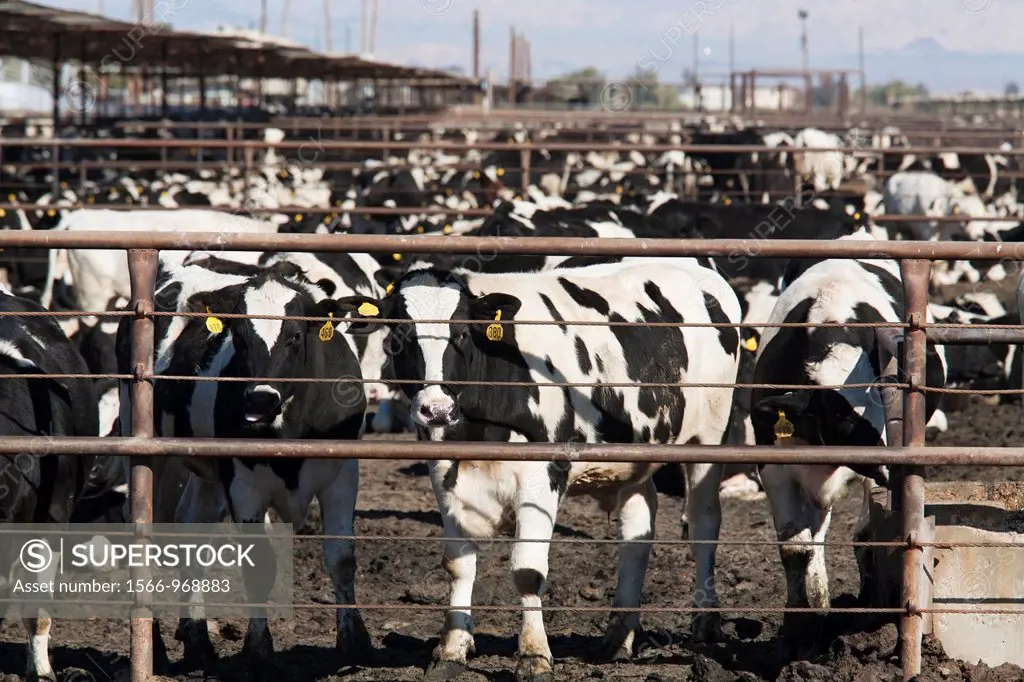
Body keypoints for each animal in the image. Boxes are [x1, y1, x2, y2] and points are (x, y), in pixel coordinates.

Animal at [114, 254, 374, 667]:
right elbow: (260, 566)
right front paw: (258, 649)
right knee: (148, 533)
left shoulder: (343, 475)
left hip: (206, 471)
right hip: (148, 447)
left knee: (193, 531)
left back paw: (198, 640)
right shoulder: (243, 483)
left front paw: (355, 642)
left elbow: (341, 558)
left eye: (295, 335)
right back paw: (153, 645)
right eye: (237, 337)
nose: (260, 399)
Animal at [344, 258, 745, 675]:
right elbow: (459, 564)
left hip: (708, 438)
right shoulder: (445, 473)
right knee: (638, 529)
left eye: (463, 333)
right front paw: (452, 650)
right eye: (399, 334)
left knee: (703, 522)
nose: (436, 409)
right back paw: (620, 635)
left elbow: (526, 570)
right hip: (636, 457)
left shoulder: (542, 473)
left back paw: (705, 621)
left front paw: (534, 655)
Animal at [749, 231, 946, 638]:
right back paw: (819, 598)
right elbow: (795, 547)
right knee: (816, 530)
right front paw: (797, 622)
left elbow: (864, 531)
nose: (890, 469)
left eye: (889, 408)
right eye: (841, 416)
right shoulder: (771, 462)